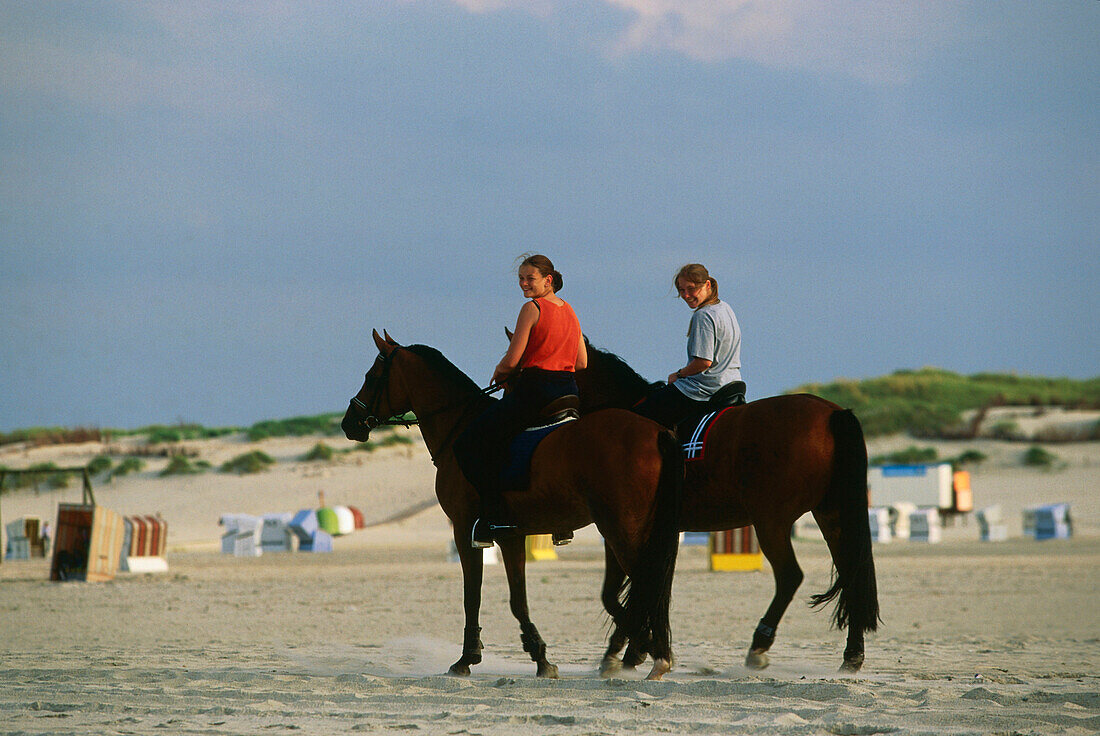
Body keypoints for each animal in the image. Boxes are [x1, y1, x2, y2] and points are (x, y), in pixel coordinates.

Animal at [338, 332, 682, 677]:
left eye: (371, 377)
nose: (348, 423)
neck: (459, 427)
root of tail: (657, 432)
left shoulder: (465, 531)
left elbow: (472, 596)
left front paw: (467, 658)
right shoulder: (510, 535)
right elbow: (519, 600)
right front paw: (541, 657)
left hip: (623, 531)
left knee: (646, 586)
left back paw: (651, 651)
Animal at [576, 338, 875, 673]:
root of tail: (832, 413)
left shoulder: (622, 527)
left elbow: (626, 592)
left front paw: (630, 651)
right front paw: (633, 650)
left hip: (771, 521)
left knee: (790, 576)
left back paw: (759, 644)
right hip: (830, 515)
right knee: (851, 570)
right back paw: (853, 654)